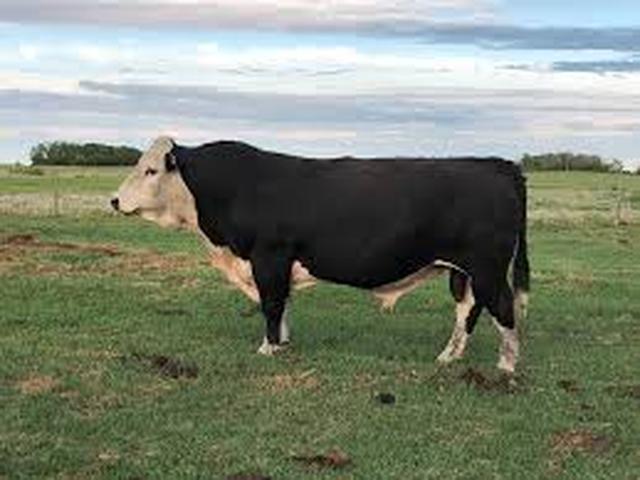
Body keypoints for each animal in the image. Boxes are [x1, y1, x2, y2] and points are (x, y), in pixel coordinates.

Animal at [112, 136, 529, 372]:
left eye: (150, 171)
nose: (114, 200)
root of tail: (499, 165)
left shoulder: (269, 257)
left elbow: (271, 304)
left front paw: (267, 348)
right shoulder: (276, 264)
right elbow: (282, 304)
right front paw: (282, 343)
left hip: (488, 268)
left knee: (503, 309)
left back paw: (506, 367)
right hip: (463, 271)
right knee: (468, 310)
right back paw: (449, 357)